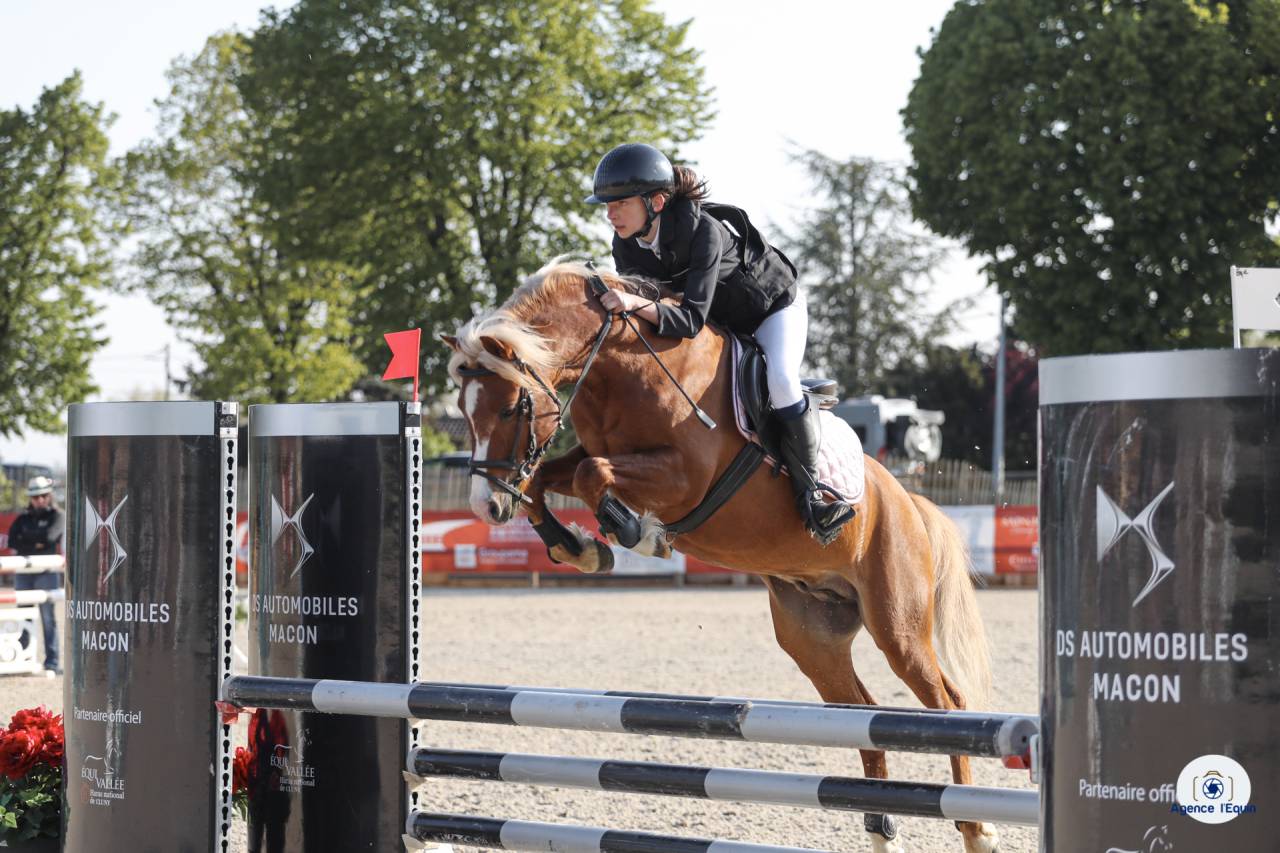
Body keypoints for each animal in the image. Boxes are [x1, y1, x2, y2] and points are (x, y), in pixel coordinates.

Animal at [443, 260, 997, 853]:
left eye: (509, 406)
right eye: (463, 413)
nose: (487, 506)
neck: (624, 362)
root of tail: (908, 501)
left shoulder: (685, 477)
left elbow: (593, 476)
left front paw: (639, 533)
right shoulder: (591, 455)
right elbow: (550, 477)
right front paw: (581, 548)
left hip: (898, 625)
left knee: (946, 705)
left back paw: (976, 829)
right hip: (813, 638)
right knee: (863, 712)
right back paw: (878, 827)